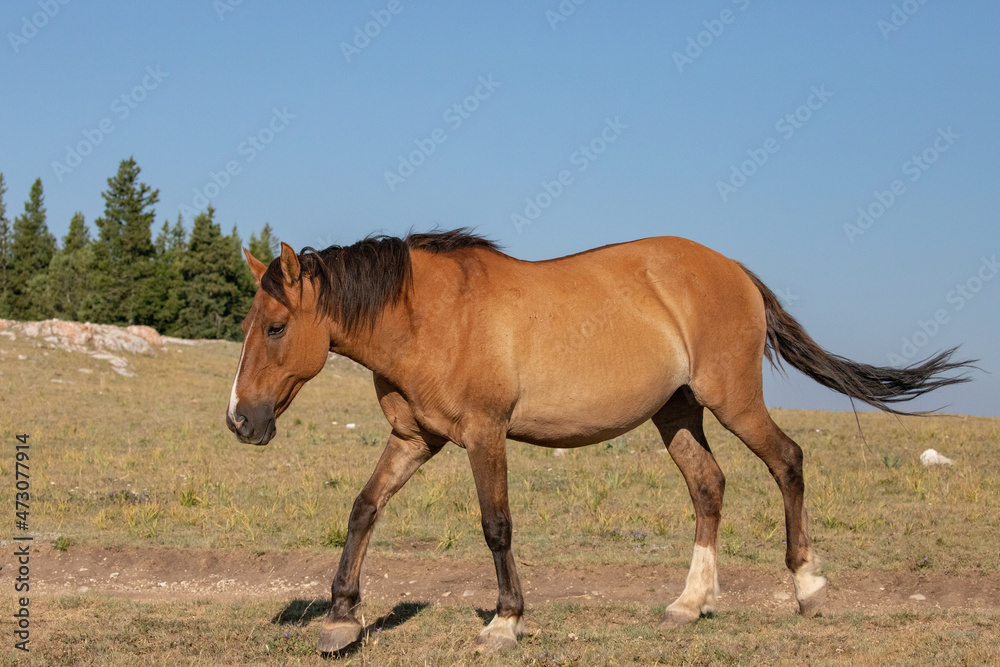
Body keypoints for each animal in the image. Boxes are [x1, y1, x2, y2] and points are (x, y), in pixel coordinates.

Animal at [225, 229, 971, 653]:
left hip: (733, 399)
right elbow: (363, 509)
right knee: (709, 486)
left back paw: (807, 585)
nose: (240, 421)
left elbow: (496, 526)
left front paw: (506, 622)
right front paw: (341, 617)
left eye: (275, 327)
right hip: (677, 413)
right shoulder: (414, 438)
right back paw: (689, 604)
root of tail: (732, 267)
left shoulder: (484, 434)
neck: (431, 315)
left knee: (787, 461)